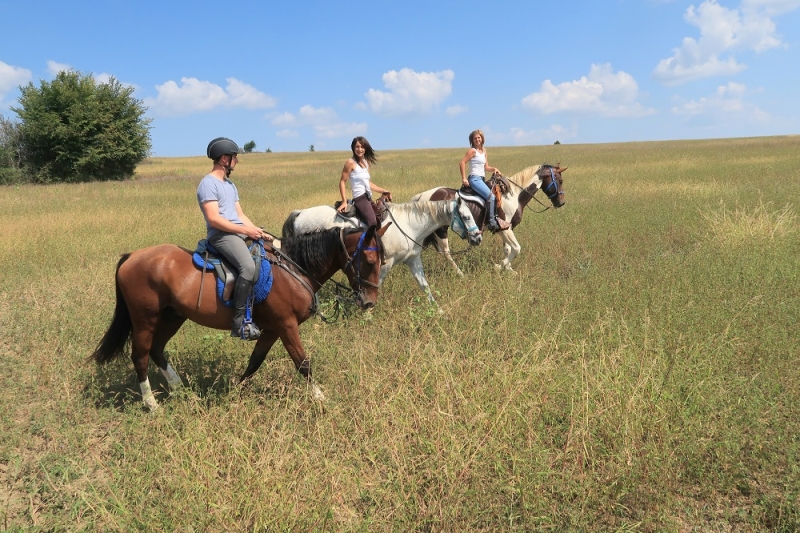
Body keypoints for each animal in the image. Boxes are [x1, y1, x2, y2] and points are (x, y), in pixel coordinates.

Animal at [92, 223, 390, 408]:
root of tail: (131, 257)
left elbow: (254, 363)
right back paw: (151, 404)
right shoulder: (286, 326)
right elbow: (303, 363)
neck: (294, 268)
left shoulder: (272, 330)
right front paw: (321, 398)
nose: (369, 302)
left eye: (383, 260)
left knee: (156, 350)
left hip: (172, 317)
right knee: (140, 355)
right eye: (369, 261)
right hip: (146, 319)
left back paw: (182, 391)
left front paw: (235, 393)